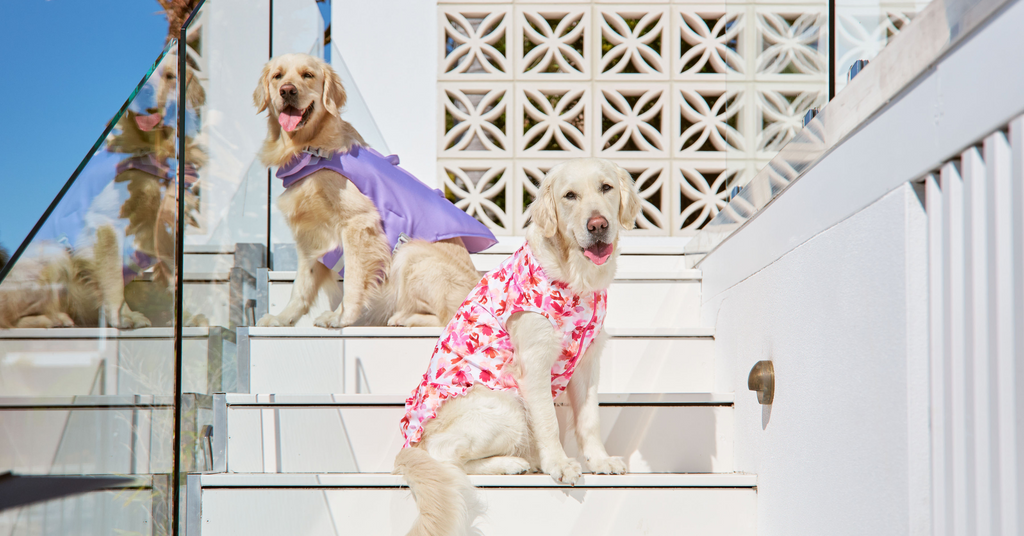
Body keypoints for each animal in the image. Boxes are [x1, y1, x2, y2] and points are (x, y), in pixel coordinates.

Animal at [250, 55, 483, 332]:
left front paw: (341, 318)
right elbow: (301, 286)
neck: (310, 150)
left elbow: (353, 280)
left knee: (449, 317)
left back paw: (404, 318)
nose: (287, 90)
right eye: (278, 76)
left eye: (308, 75)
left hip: (410, 252)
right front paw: (283, 319)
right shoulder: (310, 233)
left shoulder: (358, 223)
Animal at [393, 159, 638, 536]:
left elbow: (590, 419)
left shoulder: (587, 362)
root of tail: (410, 444)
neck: (572, 278)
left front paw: (599, 460)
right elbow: (549, 422)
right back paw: (511, 463)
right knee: (445, 455)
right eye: (570, 195)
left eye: (606, 188)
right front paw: (559, 464)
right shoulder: (534, 364)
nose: (598, 225)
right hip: (506, 406)